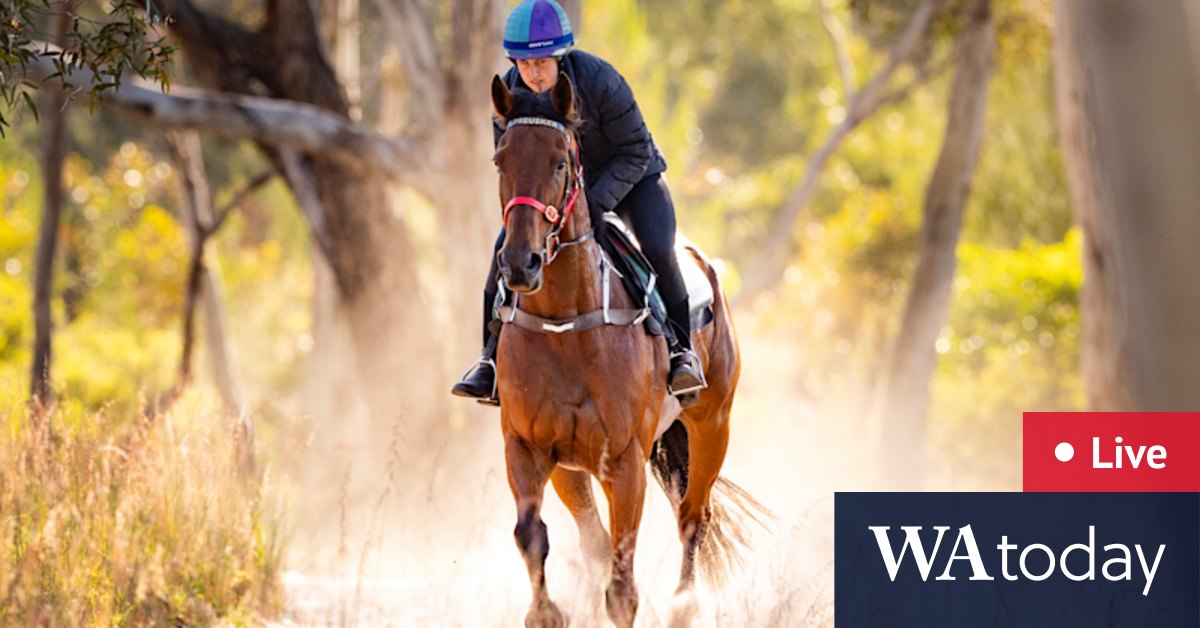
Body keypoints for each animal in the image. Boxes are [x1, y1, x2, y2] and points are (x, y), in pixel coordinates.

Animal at [489, 73, 761, 628]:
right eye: (500, 160)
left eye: (560, 162)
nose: (521, 264)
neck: (565, 326)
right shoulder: (527, 447)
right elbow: (533, 536)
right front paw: (547, 612)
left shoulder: (625, 461)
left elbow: (622, 586)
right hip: (573, 469)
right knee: (594, 540)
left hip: (712, 423)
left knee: (692, 517)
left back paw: (683, 605)